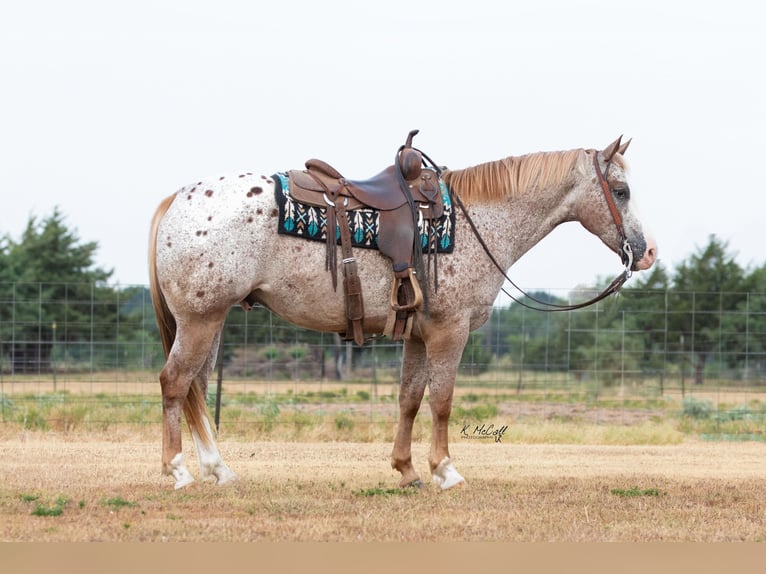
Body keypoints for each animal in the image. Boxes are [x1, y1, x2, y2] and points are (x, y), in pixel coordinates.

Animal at [148, 135, 660, 490]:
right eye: (621, 190)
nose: (648, 252)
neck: (475, 222)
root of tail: (177, 198)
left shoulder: (416, 334)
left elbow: (410, 400)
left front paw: (407, 470)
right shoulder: (450, 332)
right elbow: (442, 401)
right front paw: (446, 471)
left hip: (212, 320)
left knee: (195, 387)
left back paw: (219, 470)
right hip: (200, 320)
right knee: (175, 383)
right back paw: (179, 472)